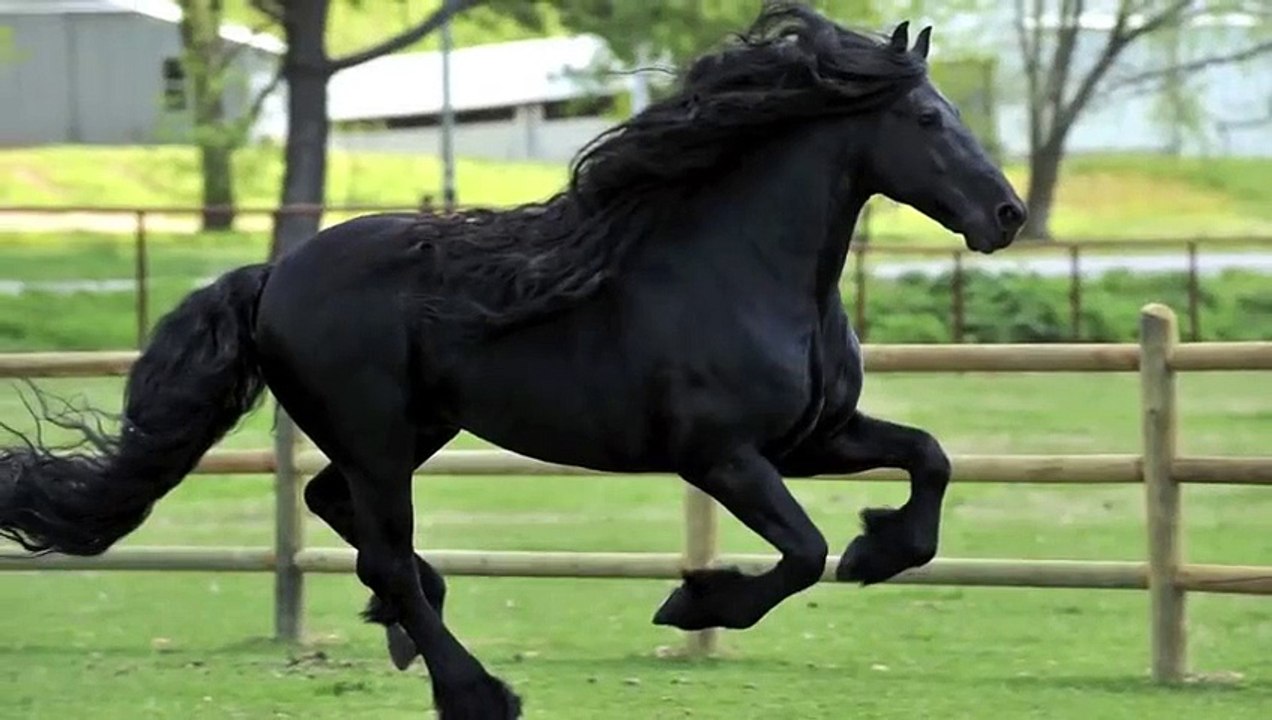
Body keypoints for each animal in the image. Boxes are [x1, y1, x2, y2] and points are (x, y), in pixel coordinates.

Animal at [0, 4, 1025, 717]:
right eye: (927, 118)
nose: (1008, 215)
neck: (747, 271)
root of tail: (274, 275)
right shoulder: (723, 456)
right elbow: (804, 552)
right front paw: (694, 604)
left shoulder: (814, 438)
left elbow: (929, 459)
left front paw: (879, 550)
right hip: (380, 441)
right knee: (385, 554)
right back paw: (474, 691)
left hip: (408, 432)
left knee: (342, 516)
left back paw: (410, 636)